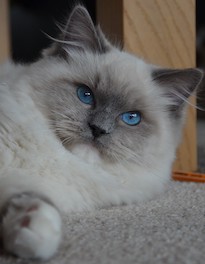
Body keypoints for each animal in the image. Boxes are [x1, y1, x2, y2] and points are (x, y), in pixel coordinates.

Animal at [0, 5, 203, 260]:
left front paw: (35, 235)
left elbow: (31, 202)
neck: (59, 159)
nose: (98, 129)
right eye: (85, 95)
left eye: (131, 118)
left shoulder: (23, 183)